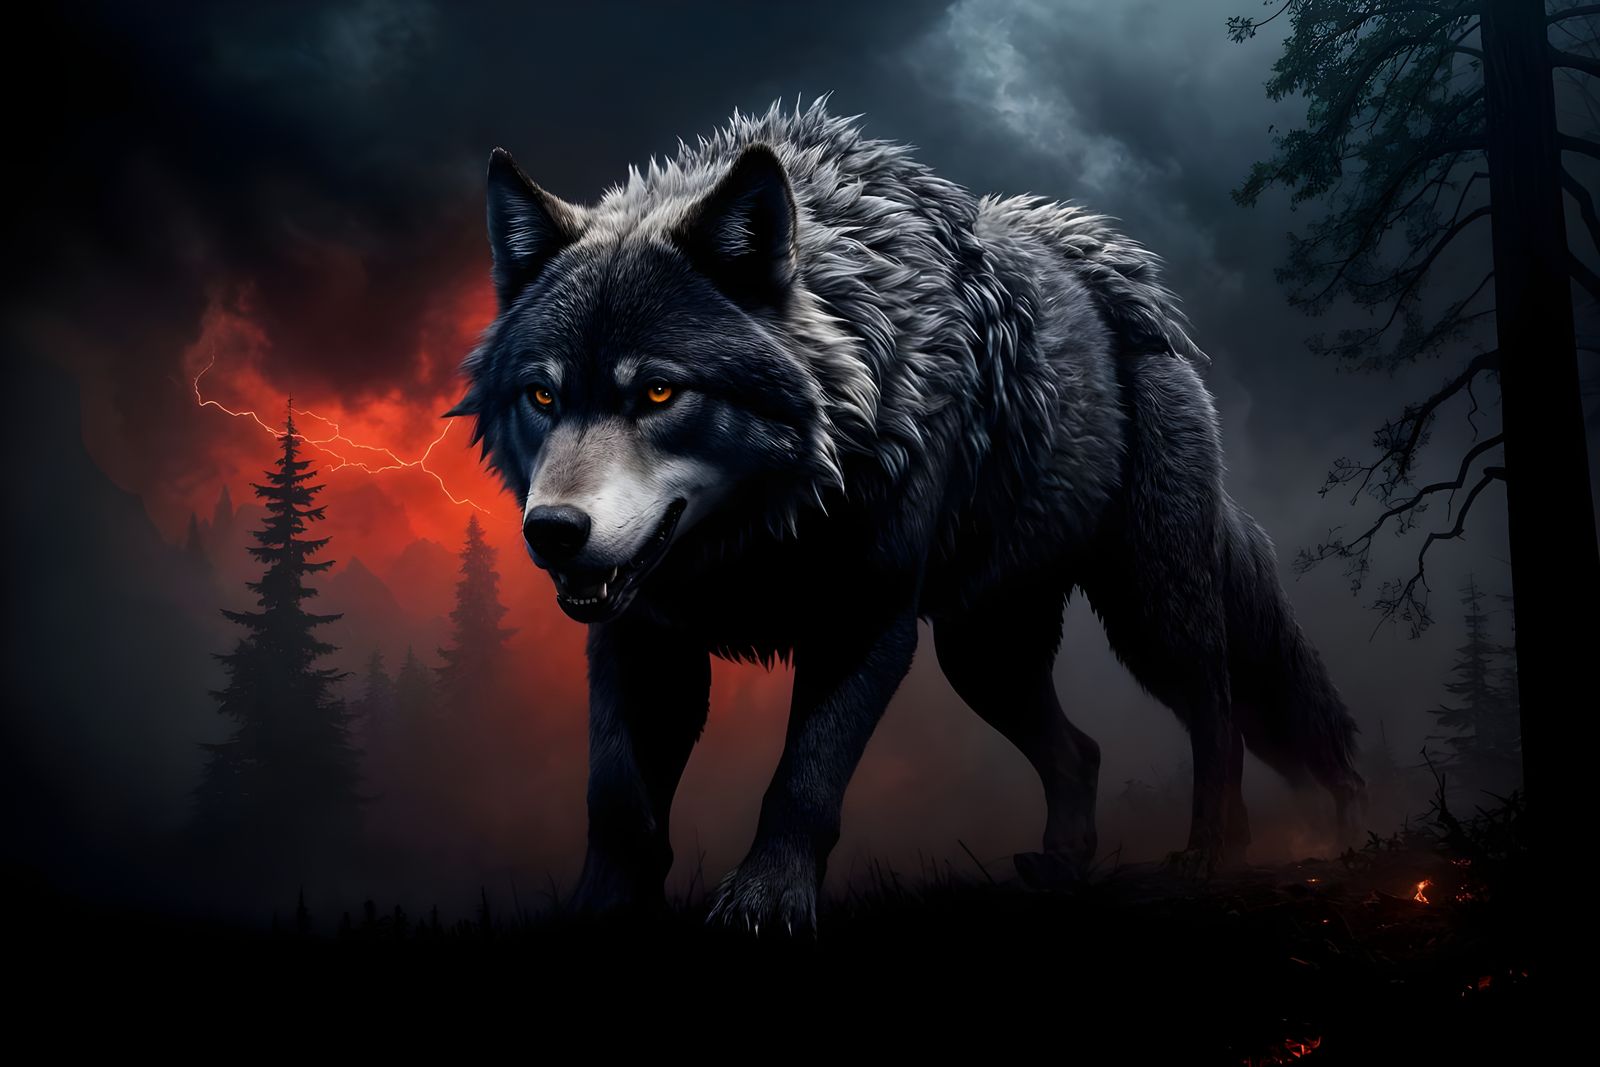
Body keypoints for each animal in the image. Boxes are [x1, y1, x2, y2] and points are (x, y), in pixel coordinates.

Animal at [450, 100, 1364, 931]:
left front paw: (765, 903)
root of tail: (1137, 300)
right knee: (1082, 750)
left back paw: (1214, 848)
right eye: (542, 395)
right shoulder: (645, 637)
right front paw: (601, 910)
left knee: (1216, 710)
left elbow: (803, 779)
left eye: (659, 392)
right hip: (983, 653)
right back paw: (1062, 864)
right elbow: (617, 796)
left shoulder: (864, 622)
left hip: (1148, 613)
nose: (552, 531)